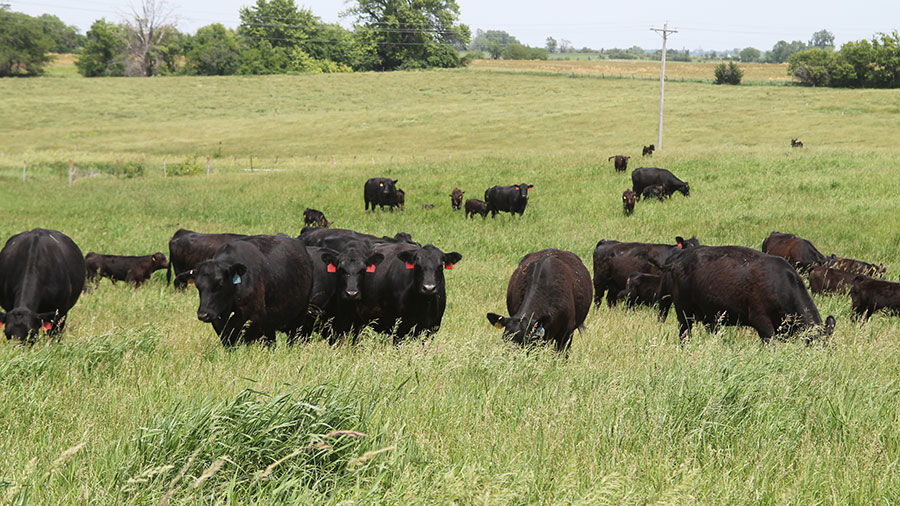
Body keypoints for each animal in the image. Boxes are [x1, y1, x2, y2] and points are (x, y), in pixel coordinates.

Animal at [175, 235, 312, 346]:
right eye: (198, 286)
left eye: (220, 284)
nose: (203, 314)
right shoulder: (218, 318)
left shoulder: (254, 316)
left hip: (299, 317)